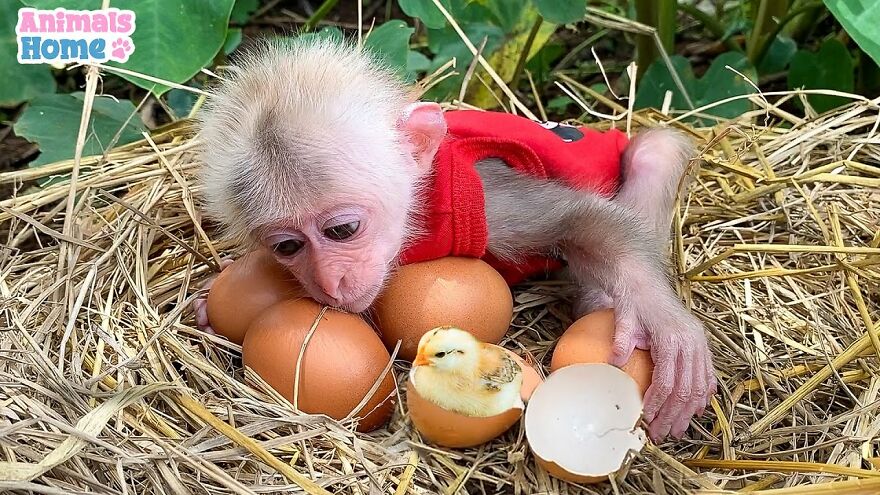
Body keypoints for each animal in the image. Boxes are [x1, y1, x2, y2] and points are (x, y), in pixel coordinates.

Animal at [192, 38, 716, 441]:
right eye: (288, 247)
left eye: (342, 230)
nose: (329, 281)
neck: (416, 219)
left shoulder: (481, 198)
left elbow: (584, 222)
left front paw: (665, 321)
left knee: (654, 152)